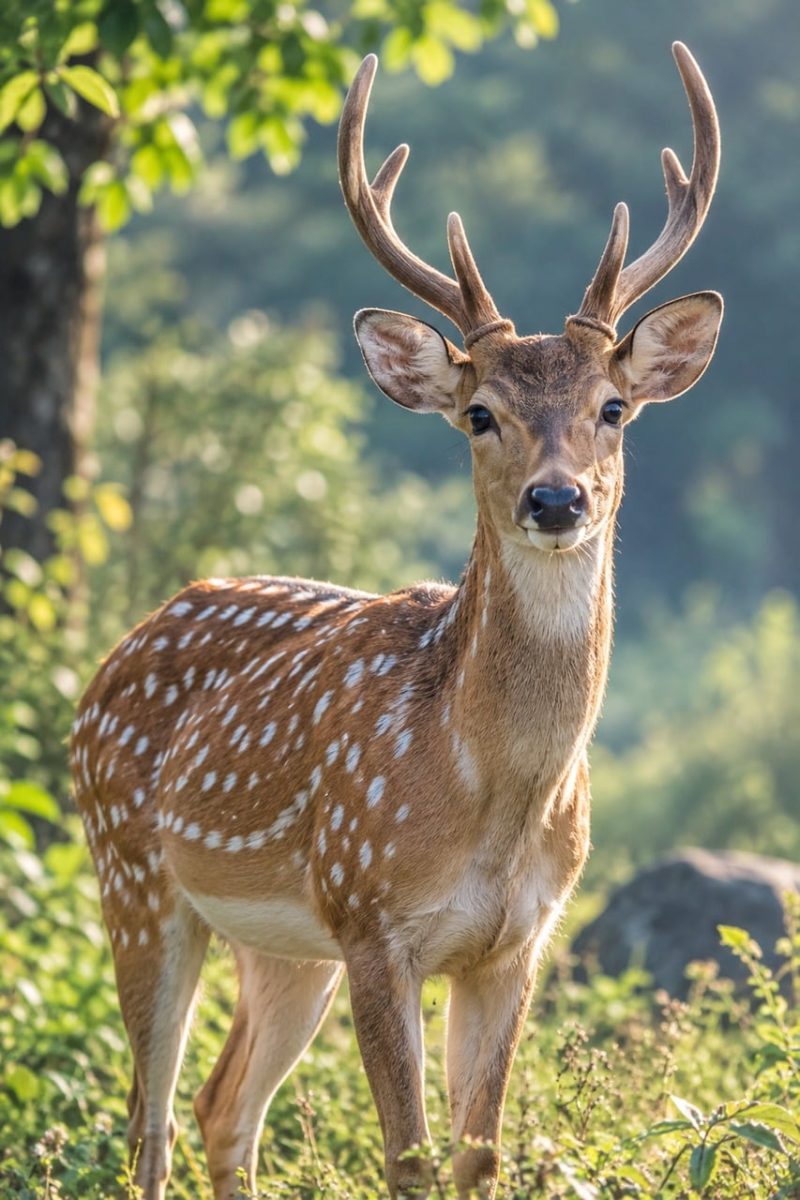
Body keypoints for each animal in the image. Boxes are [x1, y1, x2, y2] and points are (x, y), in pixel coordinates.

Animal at [70, 42, 722, 1200]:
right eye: (478, 415)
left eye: (612, 407)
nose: (556, 500)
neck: (493, 793)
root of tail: (116, 654)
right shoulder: (373, 920)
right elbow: (409, 1161)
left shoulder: (518, 943)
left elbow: (478, 1157)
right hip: (134, 875)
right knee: (148, 1118)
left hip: (282, 947)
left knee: (222, 1107)